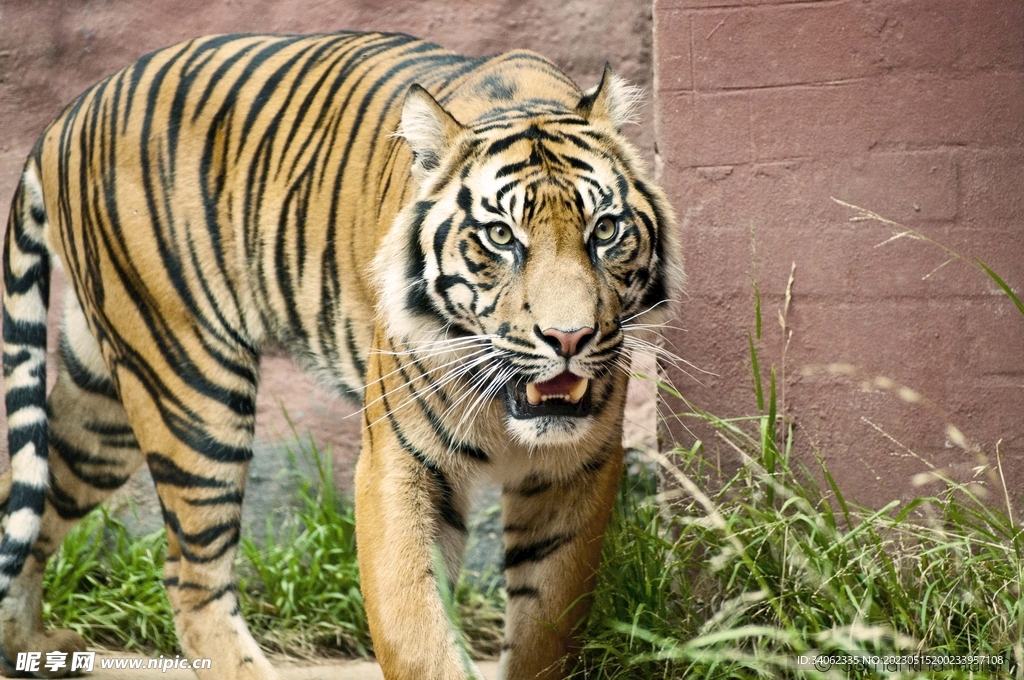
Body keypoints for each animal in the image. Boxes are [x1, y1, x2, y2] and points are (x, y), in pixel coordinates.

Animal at [0, 31, 682, 680]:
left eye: (604, 231)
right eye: (500, 236)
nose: (569, 339)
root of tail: (67, 116)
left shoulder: (575, 472)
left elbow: (547, 626)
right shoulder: (399, 465)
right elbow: (415, 630)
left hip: (106, 402)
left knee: (31, 495)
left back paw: (25, 644)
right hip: (191, 384)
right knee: (188, 575)